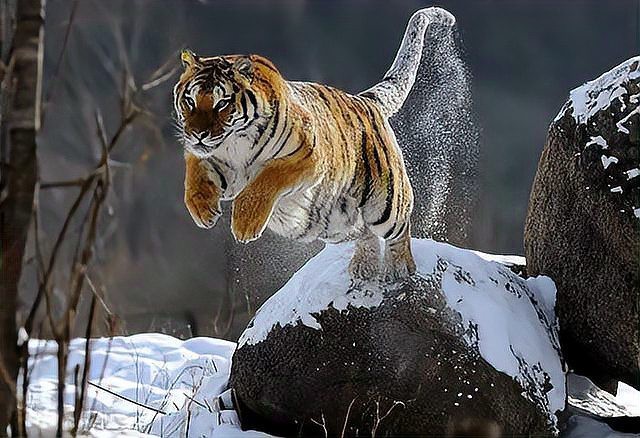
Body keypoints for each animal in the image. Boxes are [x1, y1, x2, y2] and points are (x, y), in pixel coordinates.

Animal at [173, 7, 456, 281]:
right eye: (190, 100)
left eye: (222, 103)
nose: (197, 134)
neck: (235, 144)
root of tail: (366, 100)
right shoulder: (211, 160)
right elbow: (193, 177)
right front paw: (203, 211)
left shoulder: (309, 157)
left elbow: (265, 180)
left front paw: (244, 225)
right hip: (336, 224)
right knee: (363, 231)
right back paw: (364, 266)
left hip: (385, 203)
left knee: (399, 229)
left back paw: (399, 268)